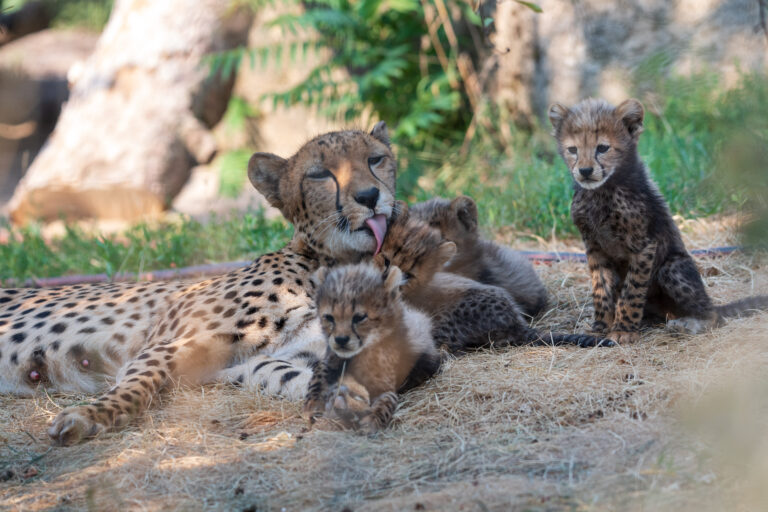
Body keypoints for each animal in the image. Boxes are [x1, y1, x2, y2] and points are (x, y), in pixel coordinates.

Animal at [0, 122, 400, 446]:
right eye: (320, 175)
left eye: (375, 160)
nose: (369, 197)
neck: (337, 265)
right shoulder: (164, 346)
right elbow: (136, 386)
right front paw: (88, 416)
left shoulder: (245, 365)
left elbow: (290, 373)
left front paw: (351, 397)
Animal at [303, 262, 439, 434]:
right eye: (329, 317)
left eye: (359, 317)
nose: (341, 340)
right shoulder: (332, 358)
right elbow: (320, 372)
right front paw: (313, 401)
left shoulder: (386, 385)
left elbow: (388, 399)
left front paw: (374, 418)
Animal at [548, 98, 768, 344]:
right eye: (573, 150)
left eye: (602, 148)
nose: (585, 171)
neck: (601, 192)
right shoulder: (594, 246)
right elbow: (601, 289)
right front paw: (600, 327)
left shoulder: (643, 245)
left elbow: (632, 291)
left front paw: (623, 329)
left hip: (671, 268)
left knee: (714, 315)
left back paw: (686, 325)